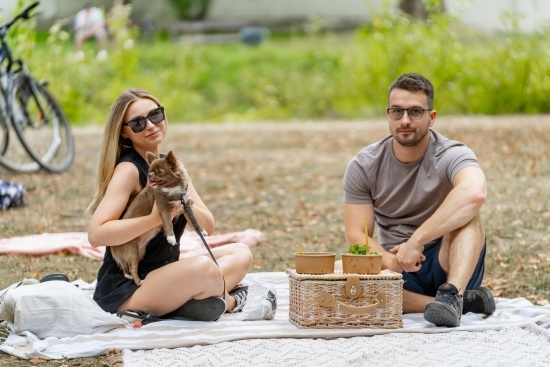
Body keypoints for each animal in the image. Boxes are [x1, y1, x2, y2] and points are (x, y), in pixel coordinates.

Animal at [111, 150, 195, 288]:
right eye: (150, 171)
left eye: (160, 172)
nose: (150, 175)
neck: (171, 188)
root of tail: (113, 247)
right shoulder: (164, 208)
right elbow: (168, 223)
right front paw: (171, 238)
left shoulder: (183, 205)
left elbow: (192, 218)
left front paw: (202, 231)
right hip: (133, 253)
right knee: (133, 268)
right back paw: (139, 281)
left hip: (140, 253)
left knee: (126, 267)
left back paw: (128, 275)